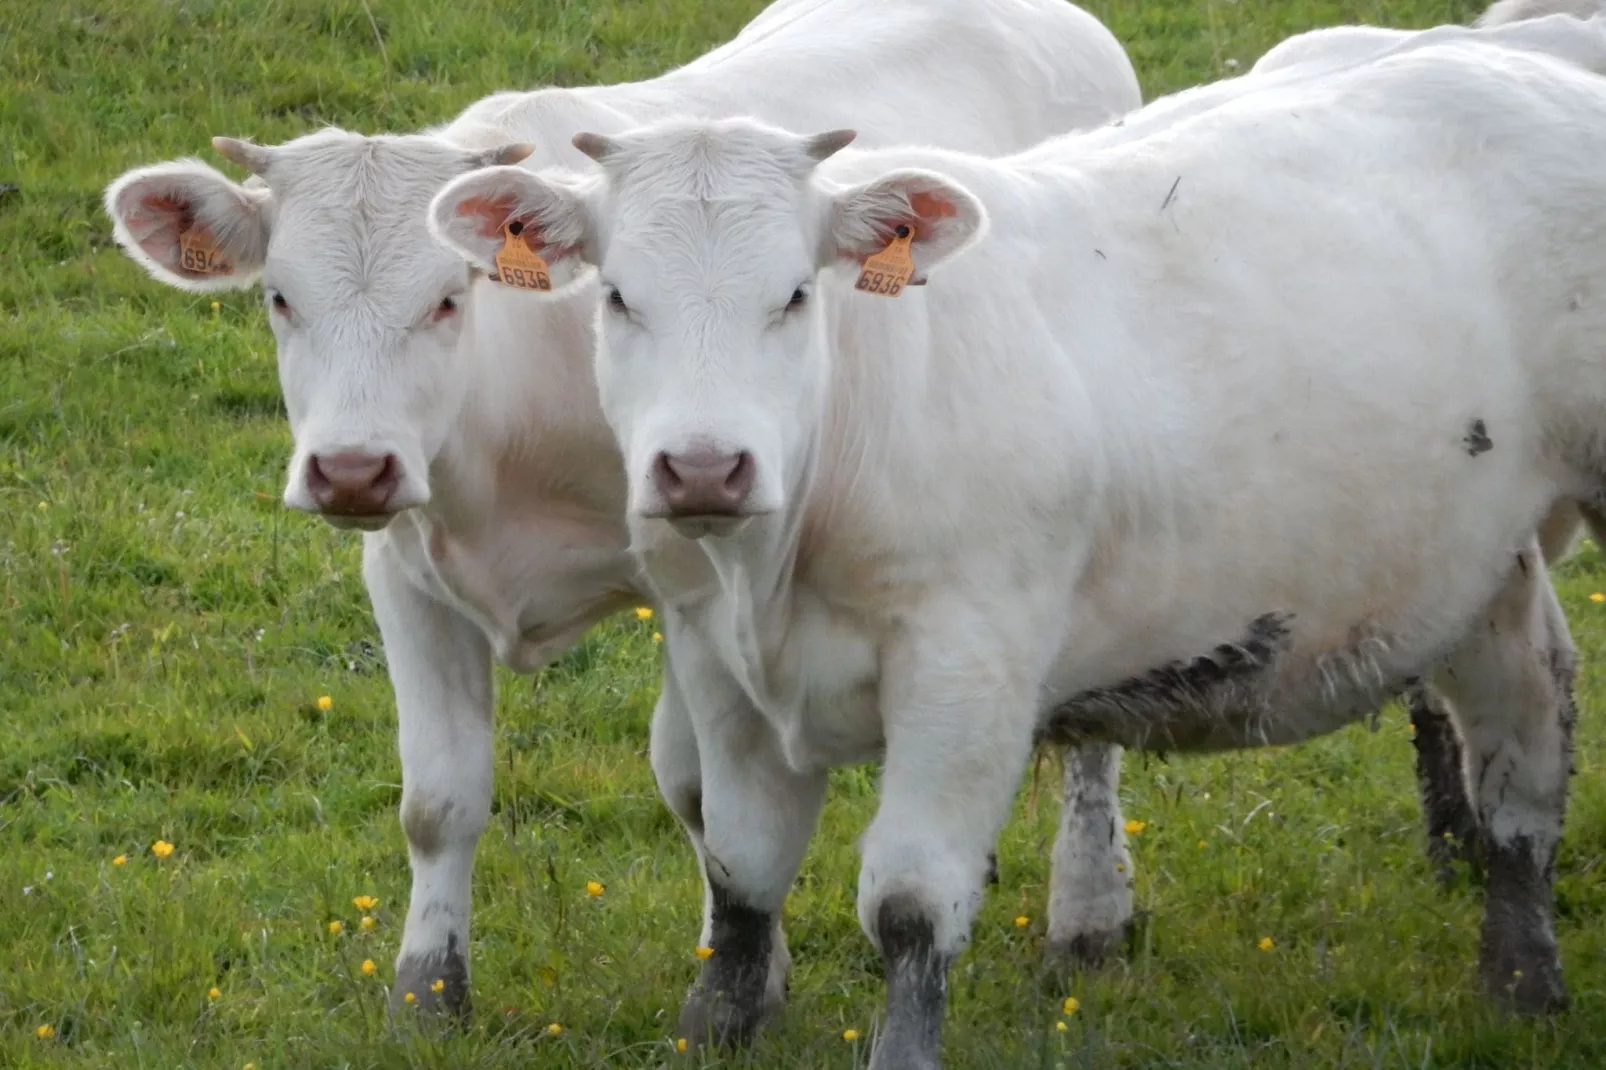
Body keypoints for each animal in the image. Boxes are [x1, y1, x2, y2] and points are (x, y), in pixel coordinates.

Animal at [100, 0, 1137, 1021]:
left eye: (446, 301)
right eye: (280, 299)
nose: (352, 469)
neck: (506, 415)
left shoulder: (691, 581)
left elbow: (698, 789)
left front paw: (749, 970)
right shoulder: (404, 571)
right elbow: (437, 802)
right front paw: (427, 990)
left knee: (1095, 736)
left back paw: (1090, 917)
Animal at [423, 31, 1606, 1060]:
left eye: (796, 295)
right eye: (618, 296)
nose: (705, 467)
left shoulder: (967, 666)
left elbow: (908, 905)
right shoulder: (713, 655)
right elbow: (741, 863)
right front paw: (717, 1028)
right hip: (1471, 553)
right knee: (1522, 714)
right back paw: (1520, 980)